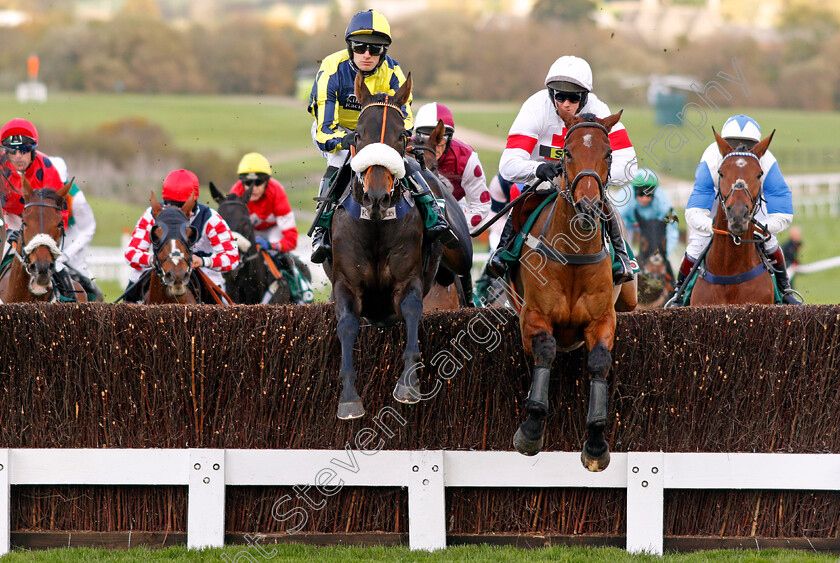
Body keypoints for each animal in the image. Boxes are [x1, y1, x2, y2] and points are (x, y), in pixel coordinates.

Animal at [324, 72, 472, 420]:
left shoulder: (409, 279)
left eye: (401, 137)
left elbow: (412, 310)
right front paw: (349, 398)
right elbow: (347, 324)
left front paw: (408, 385)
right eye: (358, 134)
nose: (377, 197)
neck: (376, 224)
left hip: (460, 252)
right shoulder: (345, 283)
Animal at [508, 111, 640, 472]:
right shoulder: (532, 315)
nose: (588, 207)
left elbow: (599, 362)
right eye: (566, 153)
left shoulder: (603, 319)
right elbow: (546, 348)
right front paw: (531, 430)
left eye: (608, 154)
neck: (574, 254)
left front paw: (595, 443)